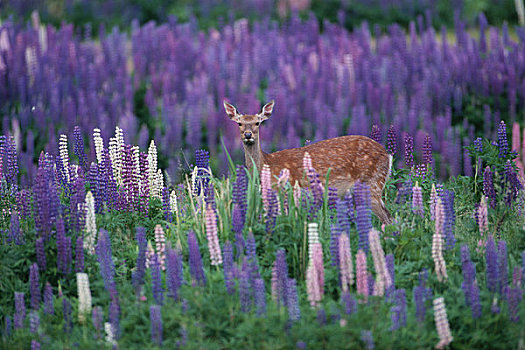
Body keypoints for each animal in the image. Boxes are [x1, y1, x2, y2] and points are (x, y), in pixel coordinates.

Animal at [223, 99, 390, 224]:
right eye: (239, 123)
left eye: (258, 122)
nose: (248, 135)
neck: (267, 163)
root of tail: (387, 155)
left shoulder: (288, 191)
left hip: (372, 182)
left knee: (388, 218)